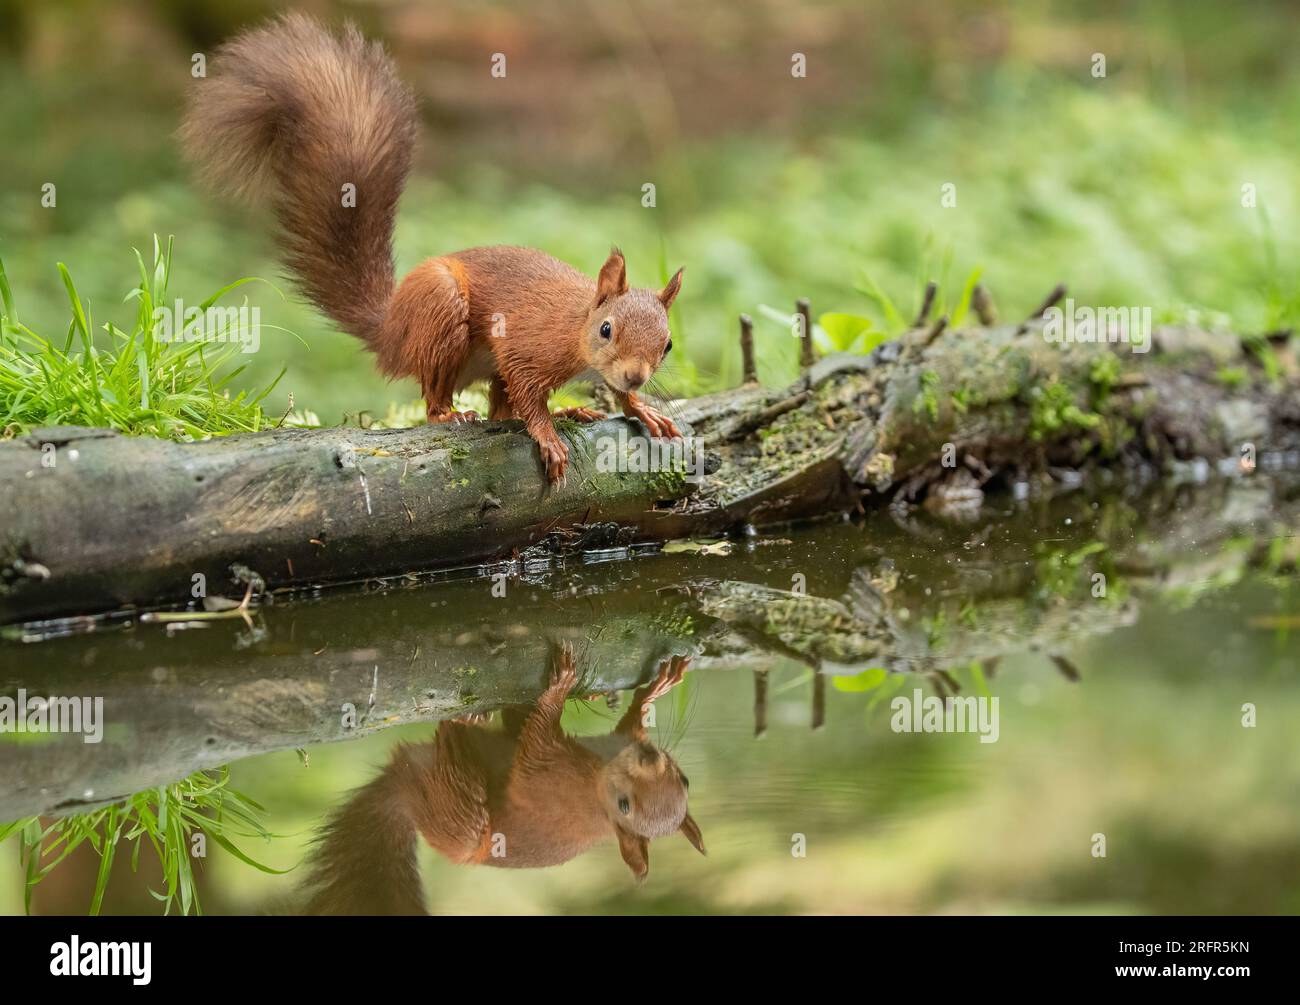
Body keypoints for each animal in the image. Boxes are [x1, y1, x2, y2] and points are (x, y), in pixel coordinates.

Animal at [181, 13, 683, 483]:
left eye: (668, 344)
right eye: (606, 330)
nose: (636, 374)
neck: (575, 326)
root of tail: (392, 331)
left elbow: (593, 396)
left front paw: (640, 406)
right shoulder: (528, 347)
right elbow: (527, 391)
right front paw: (548, 435)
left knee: (501, 412)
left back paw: (570, 410)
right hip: (442, 313)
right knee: (440, 399)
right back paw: (453, 414)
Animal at [300, 645, 704, 915]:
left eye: (623, 805)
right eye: (685, 780)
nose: (648, 757)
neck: (598, 781)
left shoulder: (547, 773)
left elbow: (537, 740)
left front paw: (560, 686)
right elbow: (630, 722)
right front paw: (656, 688)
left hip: (462, 822)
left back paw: (455, 736)